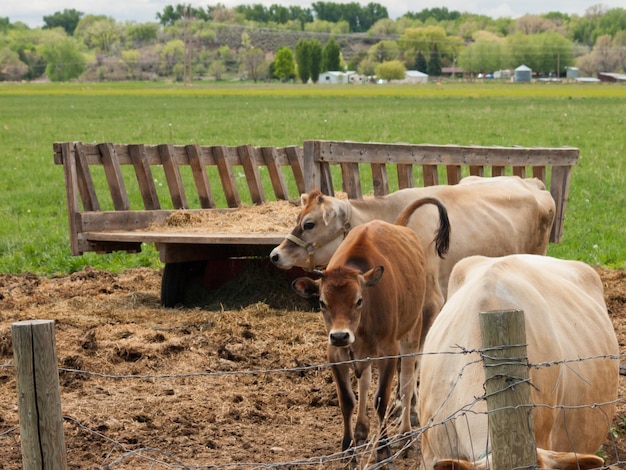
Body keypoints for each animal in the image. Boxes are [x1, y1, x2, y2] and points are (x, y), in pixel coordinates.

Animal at [292, 197, 448, 462]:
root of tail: (400, 225)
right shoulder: (335, 354)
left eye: (359, 300)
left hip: (411, 333)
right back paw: (362, 430)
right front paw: (348, 448)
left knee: (407, 383)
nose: (340, 335)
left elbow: (381, 399)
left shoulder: (389, 352)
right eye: (322, 302)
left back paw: (405, 433)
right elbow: (347, 400)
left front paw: (383, 448)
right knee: (365, 382)